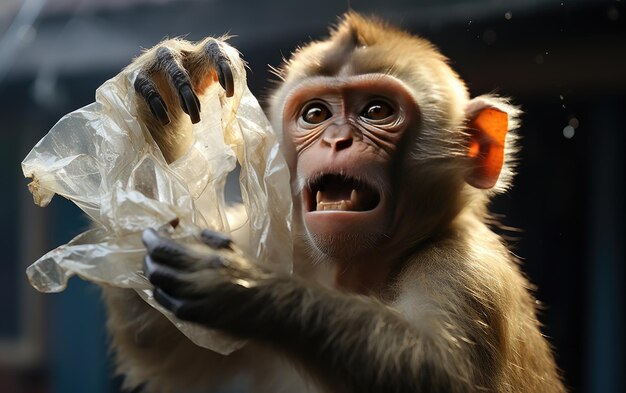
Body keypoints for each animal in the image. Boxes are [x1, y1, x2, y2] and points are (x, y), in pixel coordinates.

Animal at [98, 12, 564, 392]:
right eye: (316, 115)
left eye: (377, 111)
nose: (337, 140)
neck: (353, 274)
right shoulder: (276, 239)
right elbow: (161, 342)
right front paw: (164, 77)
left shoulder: (468, 271)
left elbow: (443, 371)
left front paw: (245, 288)